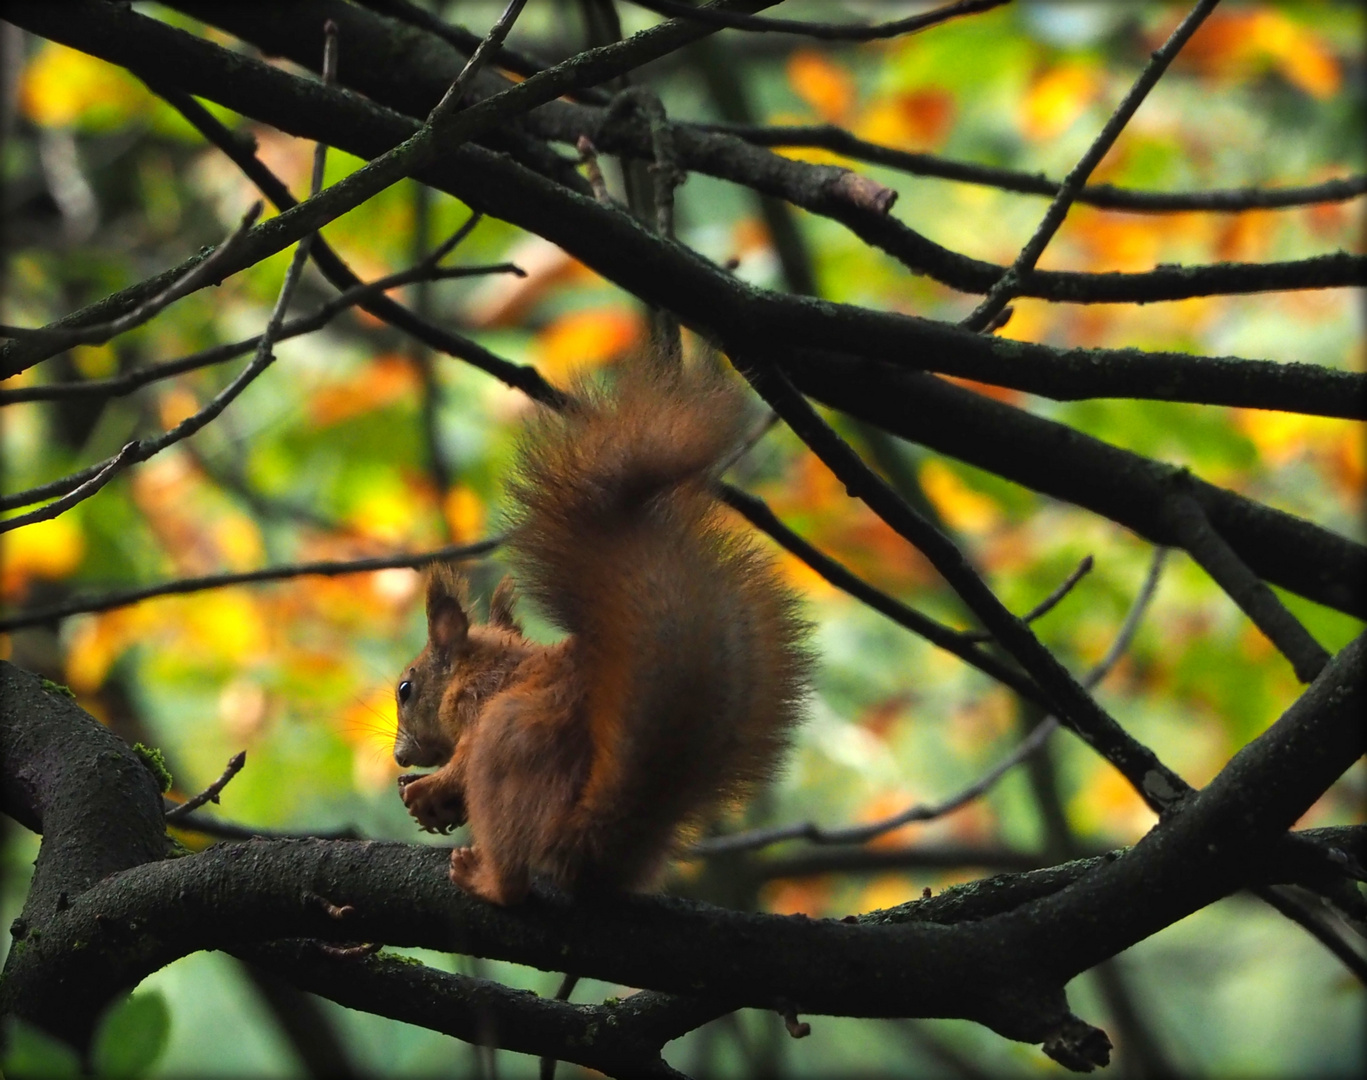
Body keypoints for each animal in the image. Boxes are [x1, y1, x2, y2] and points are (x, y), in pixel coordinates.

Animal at [390, 363, 803, 907]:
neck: (485, 665)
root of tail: (589, 837)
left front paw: (429, 789)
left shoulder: (478, 705)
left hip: (508, 749)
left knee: (512, 871)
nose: (399, 755)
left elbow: (461, 761)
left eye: (406, 688)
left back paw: (487, 879)